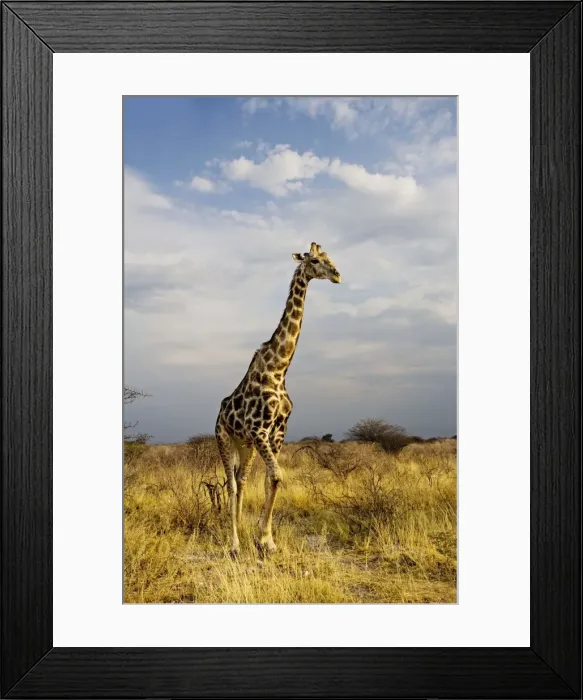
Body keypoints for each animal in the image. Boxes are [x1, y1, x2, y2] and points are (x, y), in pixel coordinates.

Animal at [215, 242, 342, 556]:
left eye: (329, 258)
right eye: (315, 260)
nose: (337, 275)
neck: (279, 369)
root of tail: (219, 411)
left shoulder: (277, 431)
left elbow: (270, 479)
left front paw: (265, 540)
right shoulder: (260, 429)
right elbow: (276, 476)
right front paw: (260, 539)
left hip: (245, 444)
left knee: (242, 479)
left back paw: (240, 529)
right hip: (224, 437)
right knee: (231, 483)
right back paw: (234, 544)